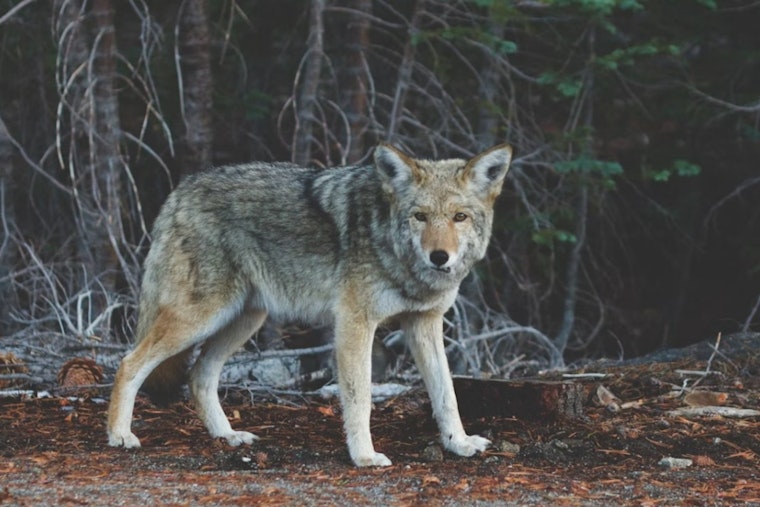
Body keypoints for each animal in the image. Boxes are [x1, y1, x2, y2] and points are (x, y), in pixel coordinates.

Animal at [107, 142, 513, 467]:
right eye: (420, 216)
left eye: (459, 217)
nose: (439, 257)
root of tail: (181, 190)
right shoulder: (354, 324)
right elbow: (360, 398)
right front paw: (364, 457)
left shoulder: (424, 324)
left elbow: (447, 394)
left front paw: (459, 444)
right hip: (201, 318)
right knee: (129, 363)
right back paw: (120, 435)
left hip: (244, 320)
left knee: (199, 376)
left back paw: (228, 436)